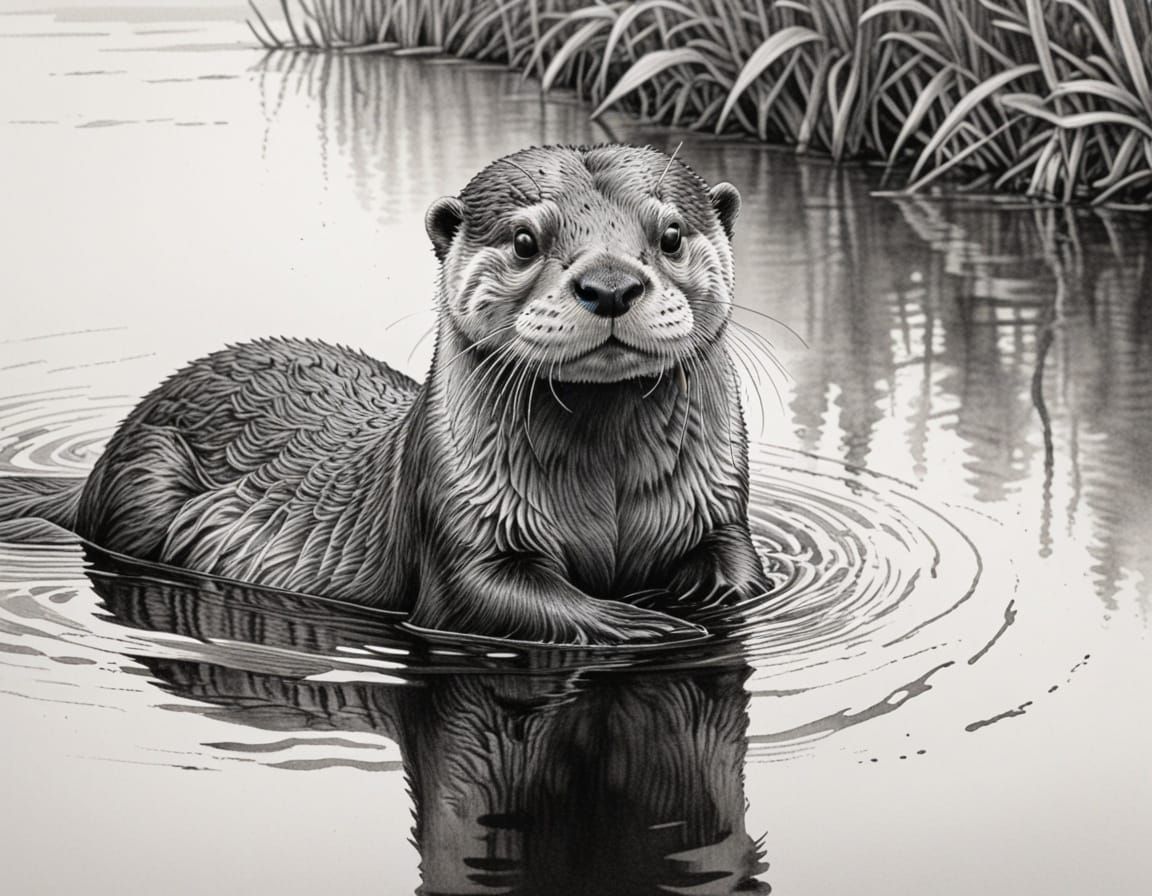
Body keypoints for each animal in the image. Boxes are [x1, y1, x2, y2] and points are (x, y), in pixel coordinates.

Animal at [3, 144, 769, 644]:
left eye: (670, 233)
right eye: (526, 240)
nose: (610, 284)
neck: (605, 494)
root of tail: (97, 468)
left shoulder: (715, 498)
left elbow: (740, 562)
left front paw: (701, 597)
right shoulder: (457, 513)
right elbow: (483, 596)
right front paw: (644, 623)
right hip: (146, 476)